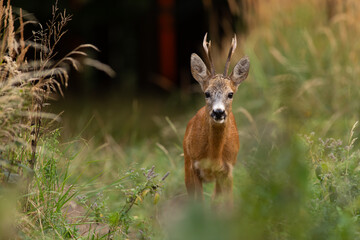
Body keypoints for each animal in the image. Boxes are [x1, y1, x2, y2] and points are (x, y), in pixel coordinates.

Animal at [183, 33, 250, 206]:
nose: (218, 112)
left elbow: (227, 205)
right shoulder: (193, 167)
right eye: (207, 93)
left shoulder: (228, 171)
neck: (213, 157)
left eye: (230, 94)